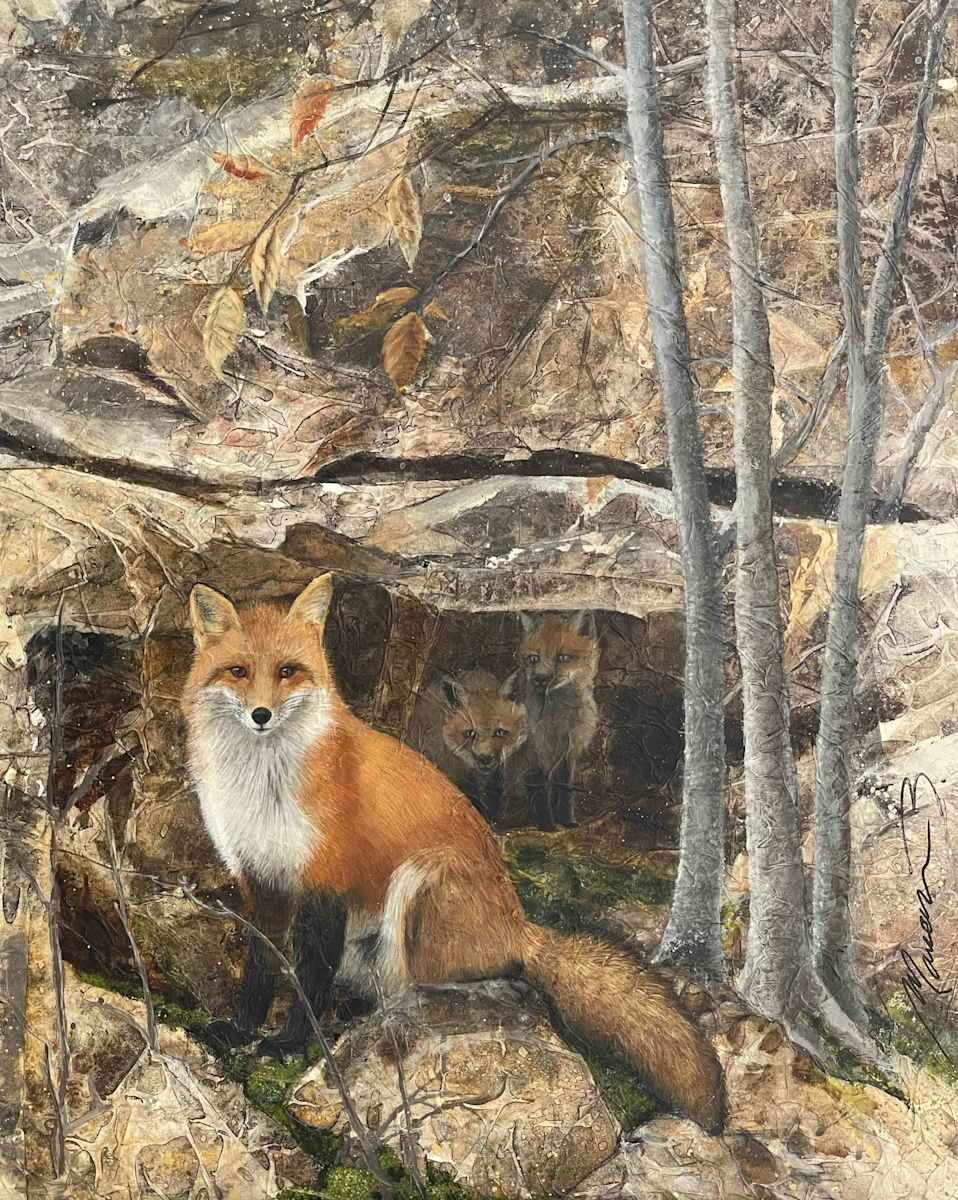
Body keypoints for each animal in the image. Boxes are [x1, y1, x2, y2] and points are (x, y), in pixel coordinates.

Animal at [518, 610, 600, 830]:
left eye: (563, 657)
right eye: (533, 658)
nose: (540, 679)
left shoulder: (569, 753)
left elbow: (565, 789)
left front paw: (566, 820)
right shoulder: (537, 754)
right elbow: (541, 789)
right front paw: (547, 825)